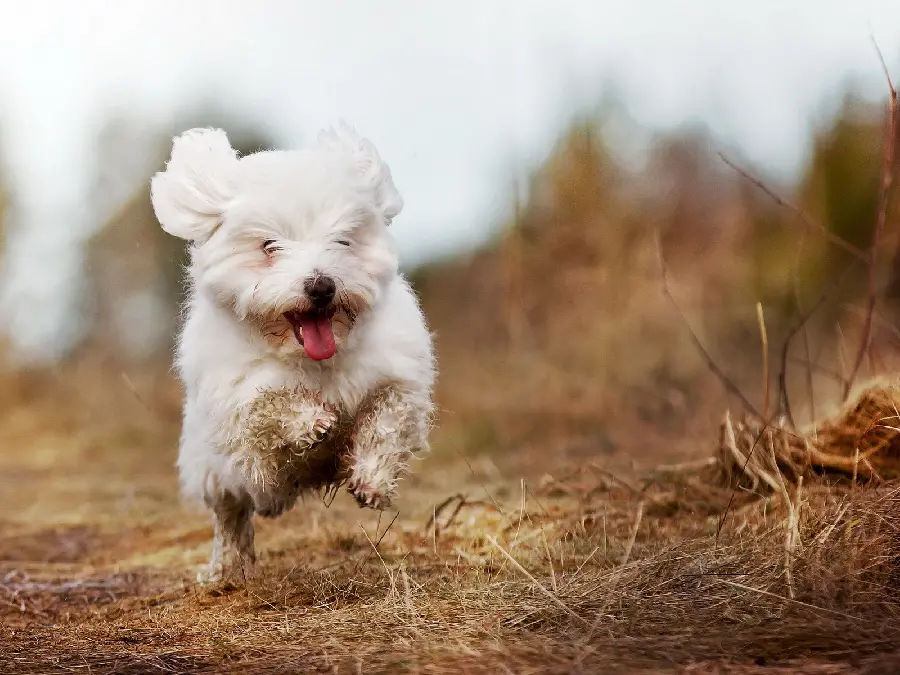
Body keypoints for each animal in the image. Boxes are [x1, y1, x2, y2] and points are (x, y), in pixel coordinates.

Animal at [149, 123, 436, 580]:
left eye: (343, 241)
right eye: (269, 246)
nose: (321, 285)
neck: (312, 360)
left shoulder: (397, 376)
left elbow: (387, 420)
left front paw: (372, 480)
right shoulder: (239, 401)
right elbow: (268, 404)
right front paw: (312, 422)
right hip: (211, 470)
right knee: (230, 518)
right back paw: (226, 569)